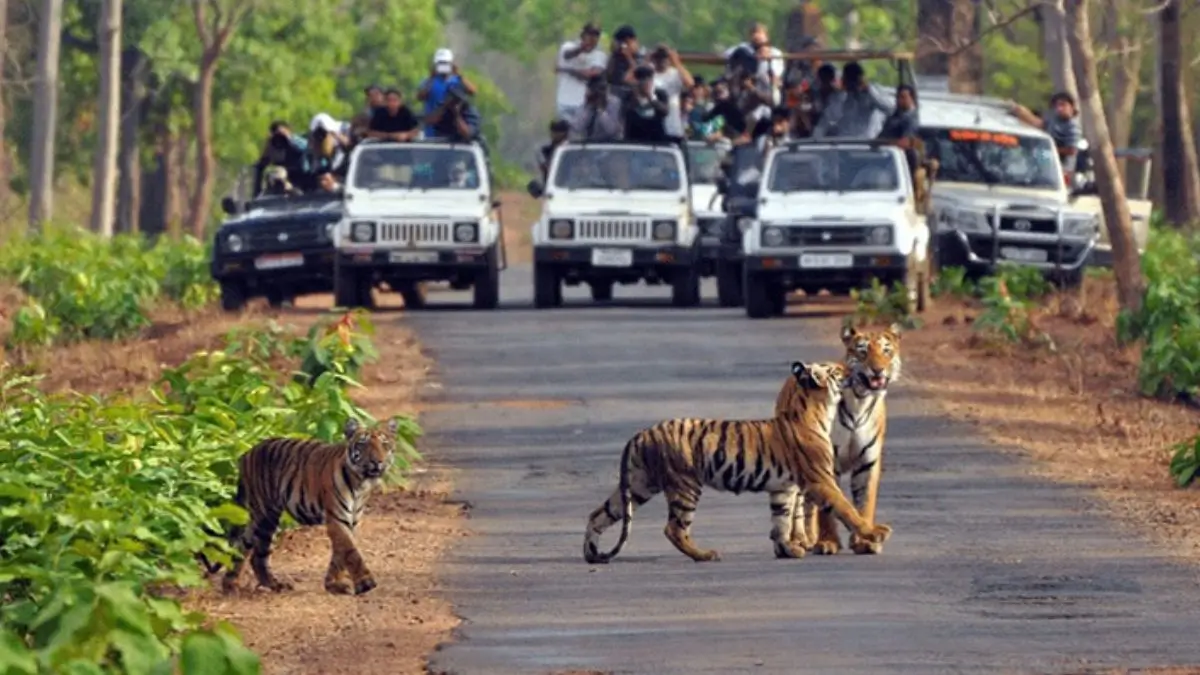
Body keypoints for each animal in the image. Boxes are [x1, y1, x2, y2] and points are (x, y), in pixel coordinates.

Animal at [201, 417, 397, 595]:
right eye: (362, 444)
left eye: (385, 444)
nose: (377, 461)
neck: (361, 483)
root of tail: (247, 454)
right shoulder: (337, 518)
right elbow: (350, 551)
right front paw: (365, 583)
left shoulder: (352, 520)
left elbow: (339, 554)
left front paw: (334, 585)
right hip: (263, 514)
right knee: (253, 552)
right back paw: (252, 586)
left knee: (246, 550)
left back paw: (244, 585)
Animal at [582, 360, 893, 564]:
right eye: (837, 370)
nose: (854, 372)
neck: (816, 410)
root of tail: (641, 433)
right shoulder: (821, 480)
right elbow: (847, 509)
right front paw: (875, 533)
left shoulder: (783, 488)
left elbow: (781, 520)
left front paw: (787, 550)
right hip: (685, 485)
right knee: (674, 528)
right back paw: (705, 555)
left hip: (639, 485)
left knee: (598, 514)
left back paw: (591, 553)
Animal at [774, 323, 901, 556]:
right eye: (863, 351)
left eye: (886, 351)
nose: (878, 369)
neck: (860, 400)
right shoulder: (827, 461)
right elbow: (828, 508)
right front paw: (828, 542)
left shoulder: (868, 462)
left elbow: (864, 502)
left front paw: (864, 542)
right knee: (798, 503)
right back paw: (799, 540)